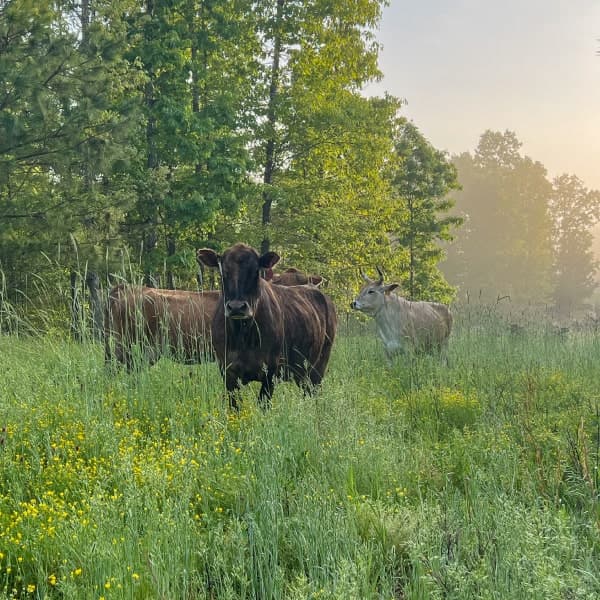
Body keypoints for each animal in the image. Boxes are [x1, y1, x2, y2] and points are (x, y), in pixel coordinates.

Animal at [198, 243, 336, 408]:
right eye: (223, 271)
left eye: (256, 271)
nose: (237, 307)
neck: (243, 336)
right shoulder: (227, 371)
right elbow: (235, 406)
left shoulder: (271, 371)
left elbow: (263, 404)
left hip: (319, 365)